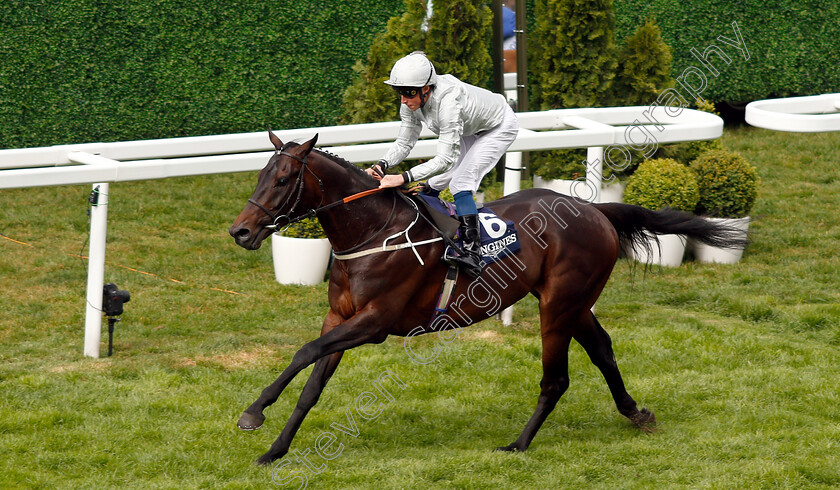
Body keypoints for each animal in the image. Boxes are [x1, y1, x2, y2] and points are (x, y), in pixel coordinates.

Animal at [228, 132, 740, 466]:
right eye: (260, 175)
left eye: (283, 179)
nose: (241, 231)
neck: (371, 230)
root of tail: (594, 208)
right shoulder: (339, 316)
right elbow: (312, 382)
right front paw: (275, 449)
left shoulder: (374, 323)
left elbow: (304, 351)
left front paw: (253, 412)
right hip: (574, 303)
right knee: (602, 350)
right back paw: (636, 412)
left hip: (559, 304)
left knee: (556, 378)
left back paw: (518, 444)